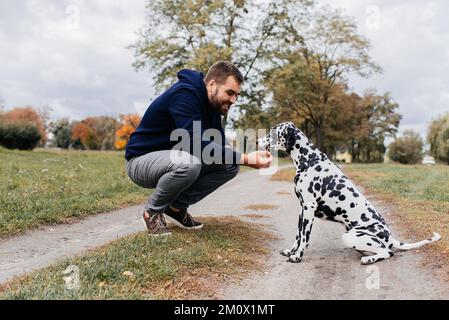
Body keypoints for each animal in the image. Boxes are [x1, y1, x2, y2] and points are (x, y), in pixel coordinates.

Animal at [258, 122, 440, 264]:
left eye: (272, 131)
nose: (257, 140)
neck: (310, 160)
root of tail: (390, 237)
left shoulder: (309, 208)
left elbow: (304, 237)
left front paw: (297, 256)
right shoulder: (302, 209)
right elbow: (298, 235)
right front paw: (291, 251)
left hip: (351, 237)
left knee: (388, 252)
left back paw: (369, 259)